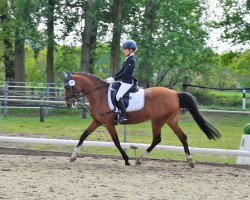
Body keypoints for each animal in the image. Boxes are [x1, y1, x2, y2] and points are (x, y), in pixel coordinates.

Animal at [63, 72, 221, 167]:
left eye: (67, 87)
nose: (68, 104)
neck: (99, 95)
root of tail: (175, 94)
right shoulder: (97, 121)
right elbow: (83, 135)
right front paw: (73, 156)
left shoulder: (109, 123)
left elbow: (116, 142)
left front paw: (127, 160)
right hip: (171, 121)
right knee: (183, 137)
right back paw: (190, 161)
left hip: (157, 121)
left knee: (157, 139)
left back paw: (139, 159)